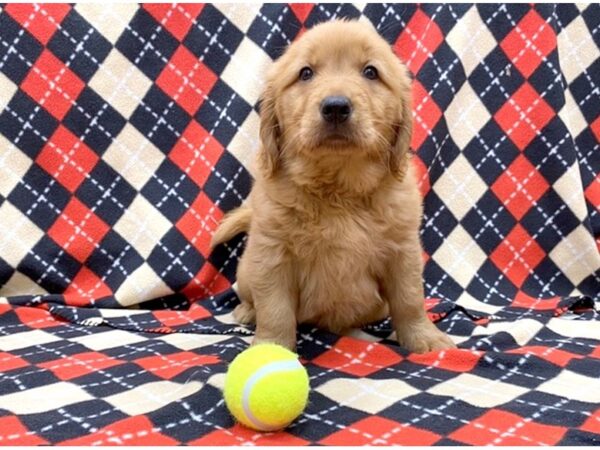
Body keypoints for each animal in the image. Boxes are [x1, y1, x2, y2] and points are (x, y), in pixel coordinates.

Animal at [211, 19, 454, 354]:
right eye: (305, 73)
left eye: (370, 72)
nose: (336, 107)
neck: (339, 190)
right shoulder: (272, 254)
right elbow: (275, 309)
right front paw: (272, 346)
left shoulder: (403, 252)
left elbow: (409, 300)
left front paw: (424, 337)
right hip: (247, 269)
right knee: (251, 296)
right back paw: (247, 311)